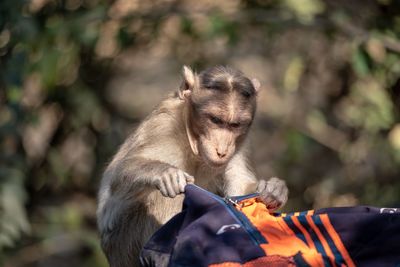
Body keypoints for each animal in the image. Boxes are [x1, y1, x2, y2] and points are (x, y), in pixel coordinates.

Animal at [98, 65, 290, 267]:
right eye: (215, 120)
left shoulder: (240, 144)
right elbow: (119, 176)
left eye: (235, 125)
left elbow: (240, 191)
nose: (222, 150)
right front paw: (164, 173)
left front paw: (273, 190)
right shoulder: (163, 125)